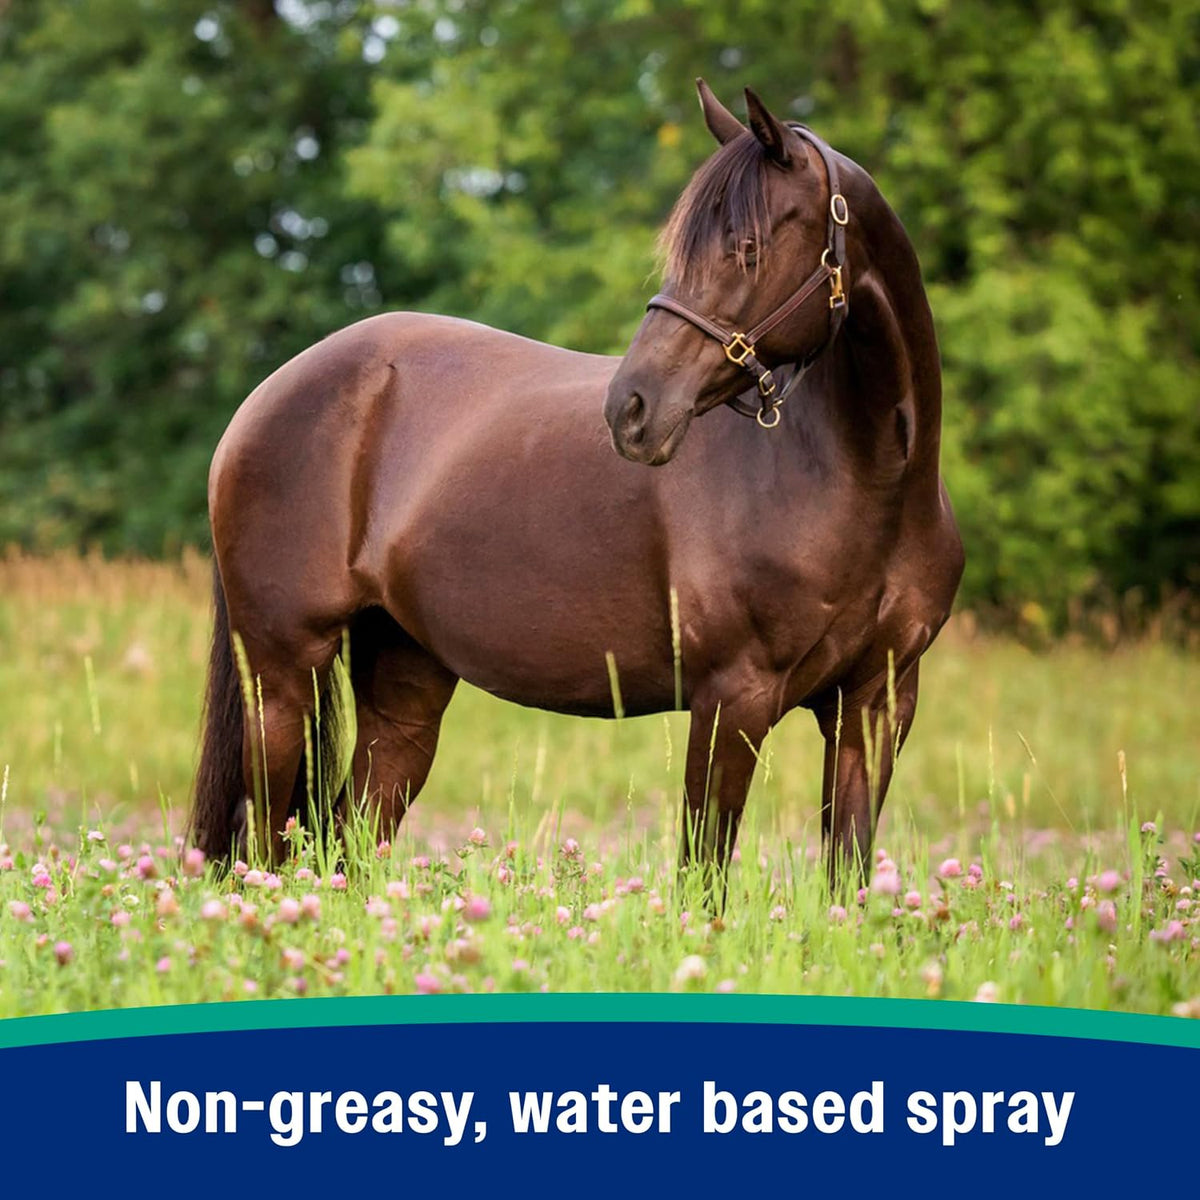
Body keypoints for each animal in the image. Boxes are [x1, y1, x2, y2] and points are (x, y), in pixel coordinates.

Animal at [190, 81, 964, 893]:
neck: (869, 483)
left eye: (748, 248)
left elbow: (847, 872)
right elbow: (703, 876)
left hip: (404, 685)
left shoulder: (875, 706)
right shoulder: (734, 697)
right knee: (265, 846)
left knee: (351, 839)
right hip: (282, 678)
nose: (633, 408)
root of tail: (265, 399)